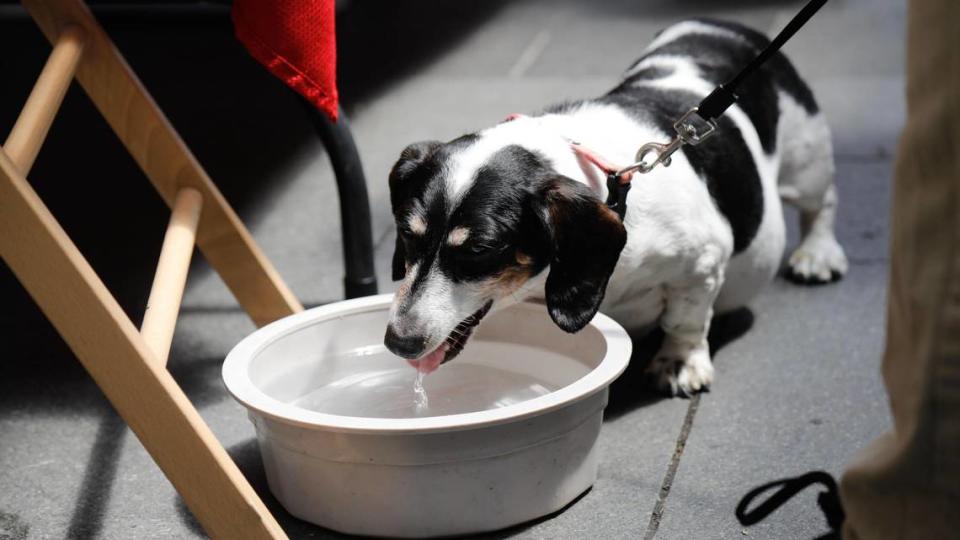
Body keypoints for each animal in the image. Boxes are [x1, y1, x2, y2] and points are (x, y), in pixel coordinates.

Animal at [382, 19, 848, 396]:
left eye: (479, 250)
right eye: (407, 233)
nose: (398, 342)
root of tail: (726, 25)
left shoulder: (702, 263)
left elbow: (686, 319)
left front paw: (680, 364)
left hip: (807, 158)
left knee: (822, 201)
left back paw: (817, 255)